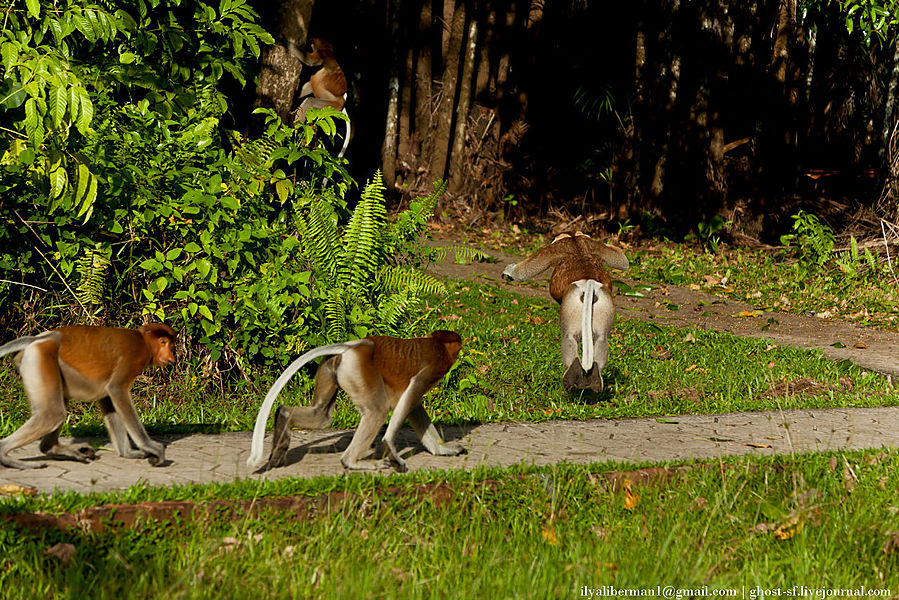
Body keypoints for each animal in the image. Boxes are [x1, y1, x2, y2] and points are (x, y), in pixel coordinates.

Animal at [0, 324, 176, 468]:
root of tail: (44, 338)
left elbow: (108, 399)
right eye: (163, 342)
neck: (143, 341)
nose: (171, 357)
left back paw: (56, 449)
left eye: (169, 343)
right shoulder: (134, 357)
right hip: (42, 357)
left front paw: (128, 453)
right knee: (52, 414)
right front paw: (151, 447)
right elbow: (116, 390)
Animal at [250, 330, 468, 472]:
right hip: (359, 370)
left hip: (330, 367)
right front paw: (391, 449)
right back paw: (352, 462)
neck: (437, 343)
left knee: (321, 415)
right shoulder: (433, 368)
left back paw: (283, 420)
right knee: (377, 411)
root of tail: (354, 346)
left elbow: (413, 407)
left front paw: (443, 449)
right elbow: (411, 395)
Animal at [502, 231, 628, 394]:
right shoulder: (592, 244)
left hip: (571, 304)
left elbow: (525, 271)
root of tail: (588, 283)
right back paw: (595, 379)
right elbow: (622, 260)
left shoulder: (554, 249)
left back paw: (572, 375)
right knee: (601, 338)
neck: (574, 239)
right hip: (604, 304)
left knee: (569, 336)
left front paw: (509, 272)